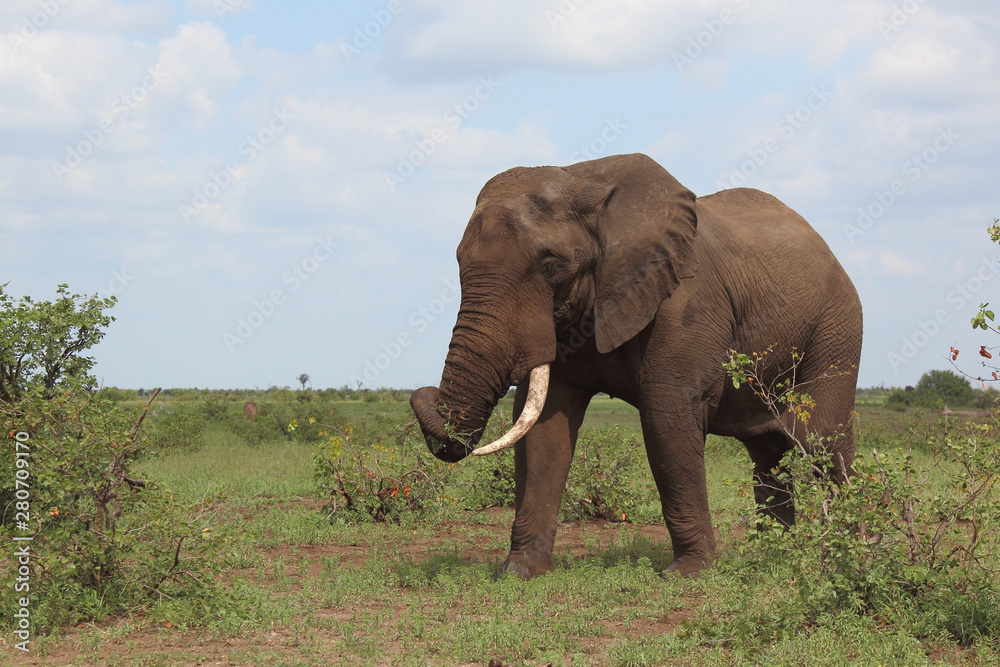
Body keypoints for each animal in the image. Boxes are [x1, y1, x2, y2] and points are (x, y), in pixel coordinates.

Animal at [410, 153, 862, 578]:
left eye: (551, 266)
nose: (422, 394)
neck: (583, 181)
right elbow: (543, 428)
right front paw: (520, 572)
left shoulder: (686, 298)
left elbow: (667, 412)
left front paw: (688, 574)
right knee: (769, 455)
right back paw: (776, 555)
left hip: (836, 328)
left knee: (823, 442)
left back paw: (850, 552)